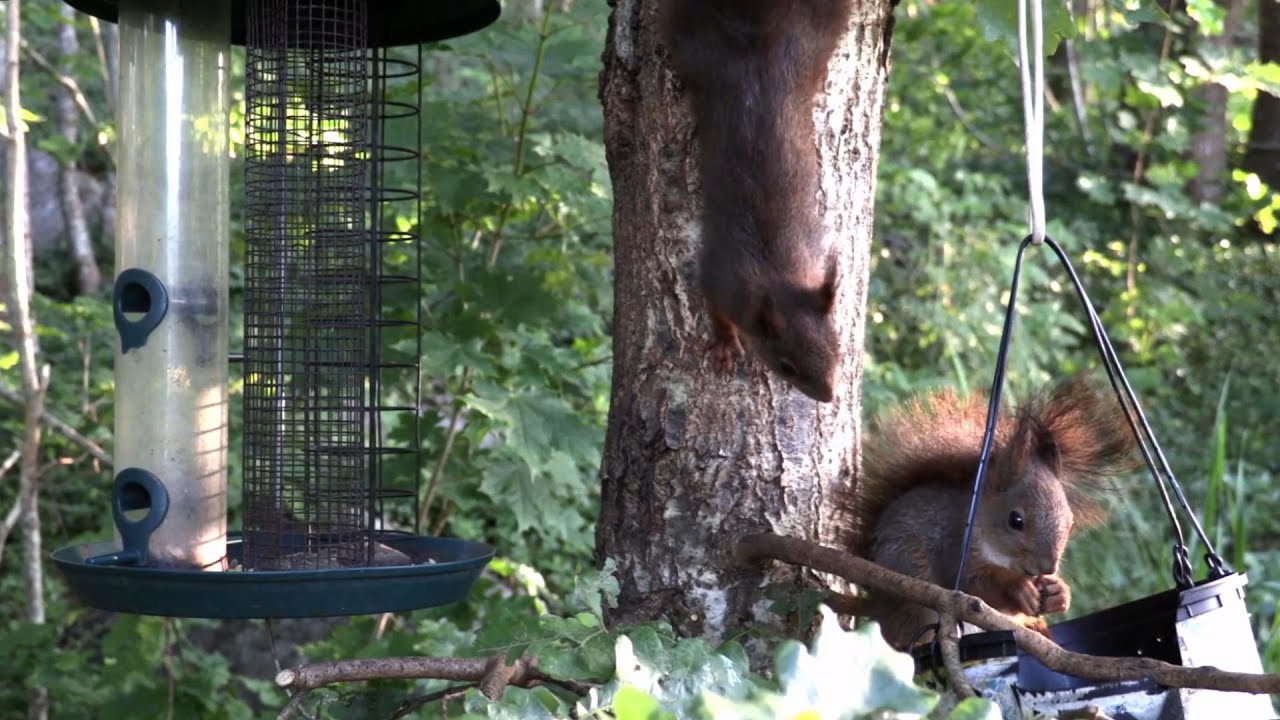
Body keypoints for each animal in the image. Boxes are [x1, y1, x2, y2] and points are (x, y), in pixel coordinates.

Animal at [659, 0, 852, 403]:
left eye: (837, 347)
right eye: (785, 366)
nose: (828, 396)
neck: (779, 273)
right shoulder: (722, 280)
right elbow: (714, 308)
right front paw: (725, 344)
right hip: (692, 39)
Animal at [841, 376, 1137, 650]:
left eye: (1070, 522)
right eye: (1015, 520)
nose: (1047, 567)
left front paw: (1058, 592)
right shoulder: (952, 545)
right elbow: (975, 587)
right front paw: (1017, 589)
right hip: (910, 585)